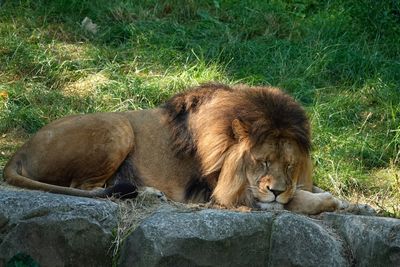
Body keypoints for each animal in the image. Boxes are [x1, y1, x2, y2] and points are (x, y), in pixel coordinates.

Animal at [2, 84, 346, 216]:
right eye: (262, 162)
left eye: (289, 165)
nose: (276, 189)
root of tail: (19, 151)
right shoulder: (220, 194)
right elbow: (292, 200)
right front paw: (327, 202)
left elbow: (304, 189)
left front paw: (346, 202)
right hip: (118, 126)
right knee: (87, 188)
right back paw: (147, 193)